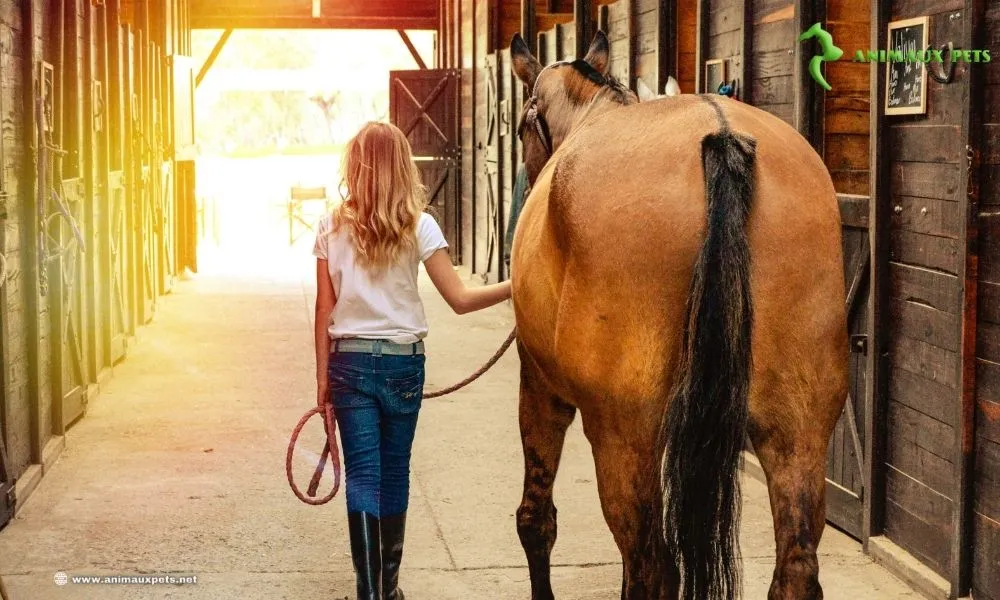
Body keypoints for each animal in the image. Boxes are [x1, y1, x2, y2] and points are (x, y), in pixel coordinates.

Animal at [508, 31, 844, 600]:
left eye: (521, 127)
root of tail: (722, 137)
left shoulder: (539, 387)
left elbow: (536, 520)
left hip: (624, 437)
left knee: (652, 566)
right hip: (799, 431)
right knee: (797, 566)